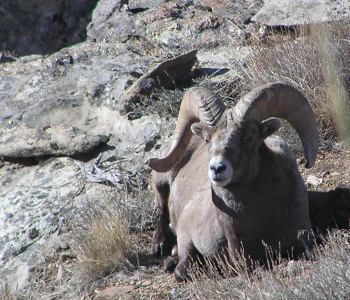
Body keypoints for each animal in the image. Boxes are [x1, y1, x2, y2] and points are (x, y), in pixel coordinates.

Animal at [149, 82, 318, 282]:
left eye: (249, 138)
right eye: (207, 139)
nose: (217, 168)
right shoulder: (186, 234)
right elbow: (181, 271)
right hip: (160, 183)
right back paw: (160, 248)